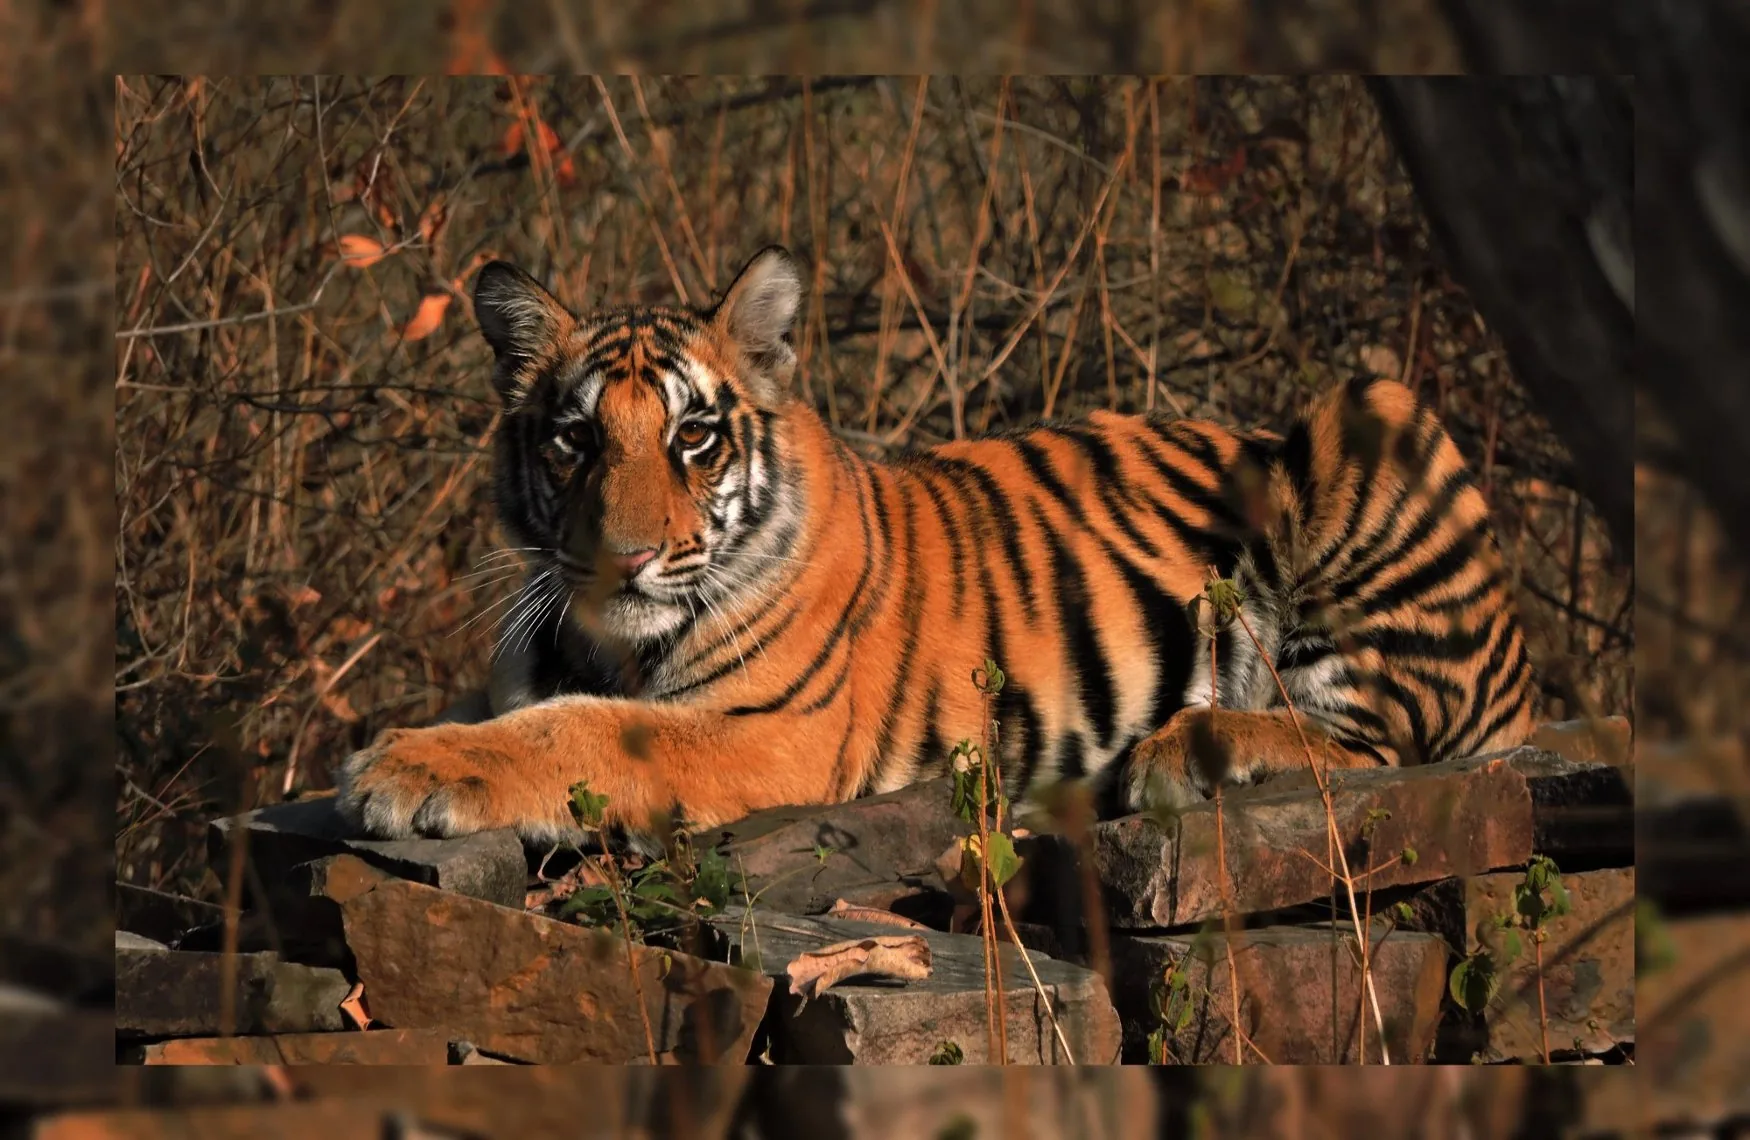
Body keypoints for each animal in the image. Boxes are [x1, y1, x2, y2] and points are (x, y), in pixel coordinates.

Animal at [335, 246, 1535, 849]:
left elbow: (578, 730)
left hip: (1370, 407)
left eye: (694, 438)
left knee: (1389, 747)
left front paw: (400, 768)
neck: (610, 641)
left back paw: (1186, 753)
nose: (623, 560)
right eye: (575, 438)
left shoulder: (769, 729)